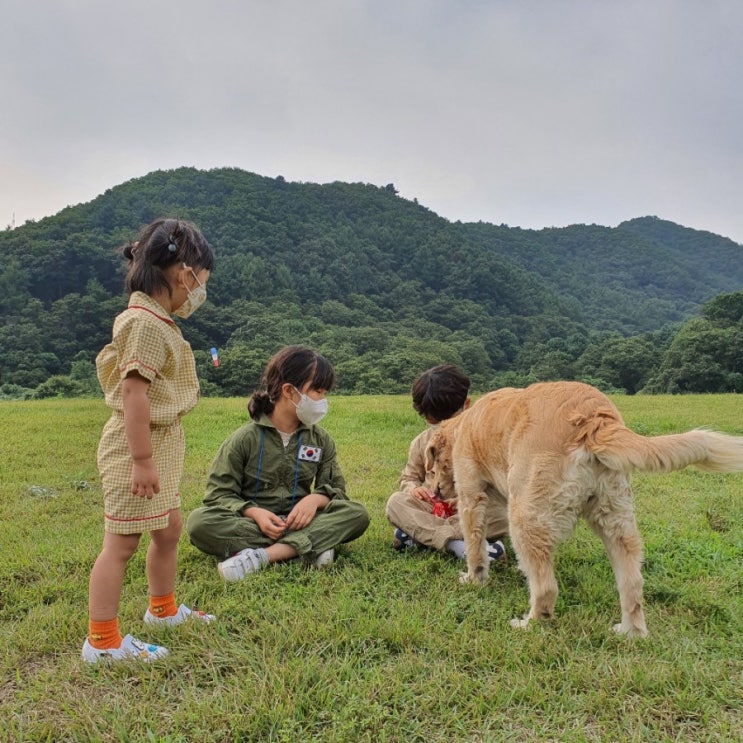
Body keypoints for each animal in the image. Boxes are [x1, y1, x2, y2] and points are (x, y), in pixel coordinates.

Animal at [424, 384, 743, 640]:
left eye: (432, 464)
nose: (433, 491)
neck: (466, 424)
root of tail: (593, 419)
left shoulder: (471, 496)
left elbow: (475, 547)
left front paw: (474, 580)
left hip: (525, 515)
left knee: (546, 588)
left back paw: (529, 623)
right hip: (616, 517)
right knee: (632, 583)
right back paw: (631, 632)